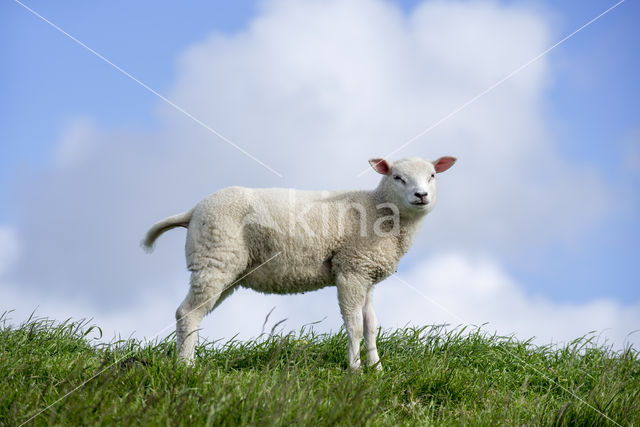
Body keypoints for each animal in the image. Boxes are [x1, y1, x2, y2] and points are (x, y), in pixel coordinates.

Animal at [143, 157, 458, 372]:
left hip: (224, 267)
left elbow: (370, 324)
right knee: (187, 313)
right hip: (214, 257)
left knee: (193, 312)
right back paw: (186, 366)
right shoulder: (351, 269)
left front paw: (377, 369)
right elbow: (354, 324)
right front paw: (355, 370)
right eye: (397, 177)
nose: (421, 195)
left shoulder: (366, 272)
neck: (378, 209)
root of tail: (193, 210)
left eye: (432, 175)